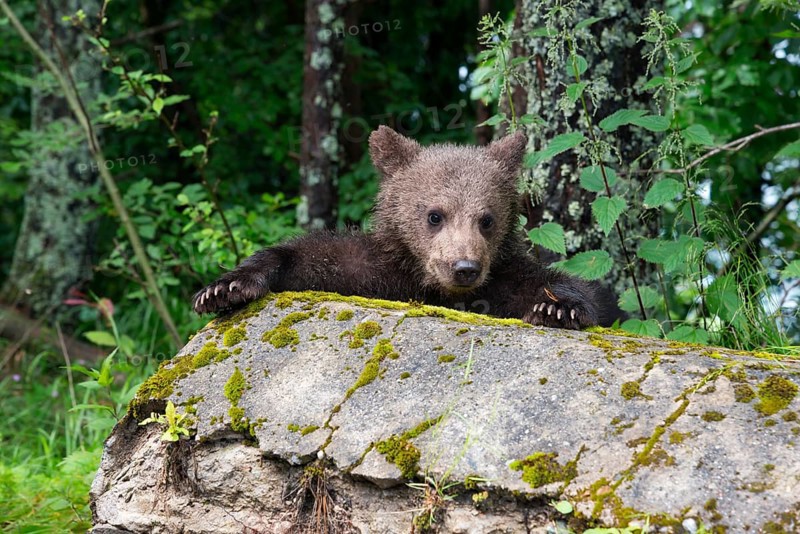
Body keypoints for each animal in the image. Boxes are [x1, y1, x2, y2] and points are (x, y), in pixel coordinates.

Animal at [192, 126, 621, 329]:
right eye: (435, 215)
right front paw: (225, 288)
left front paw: (557, 306)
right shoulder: (374, 271)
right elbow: (309, 259)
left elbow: (573, 289)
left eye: (486, 219)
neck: (431, 286)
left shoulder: (501, 281)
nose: (464, 268)